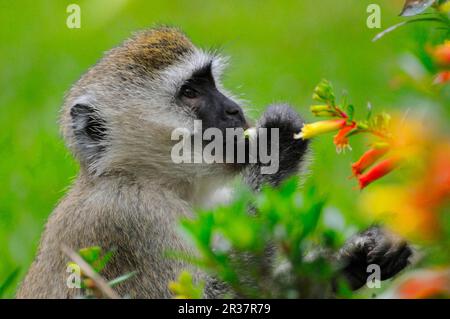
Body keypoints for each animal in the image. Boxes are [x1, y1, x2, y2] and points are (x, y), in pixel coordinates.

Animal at [17, 27, 412, 300]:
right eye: (190, 93)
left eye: (210, 83)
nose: (234, 110)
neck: (150, 180)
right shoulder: (128, 218)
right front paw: (276, 146)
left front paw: (357, 258)